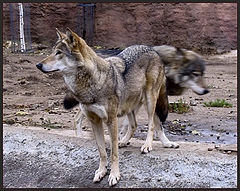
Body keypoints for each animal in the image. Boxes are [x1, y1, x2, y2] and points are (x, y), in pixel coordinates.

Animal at [36, 28, 178, 187]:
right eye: (52, 51)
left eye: (59, 53)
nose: (38, 65)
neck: (91, 83)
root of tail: (152, 49)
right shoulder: (94, 121)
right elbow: (102, 151)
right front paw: (101, 171)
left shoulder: (111, 120)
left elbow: (113, 153)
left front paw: (114, 175)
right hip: (130, 105)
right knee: (136, 124)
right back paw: (131, 142)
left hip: (149, 100)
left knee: (152, 124)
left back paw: (149, 145)